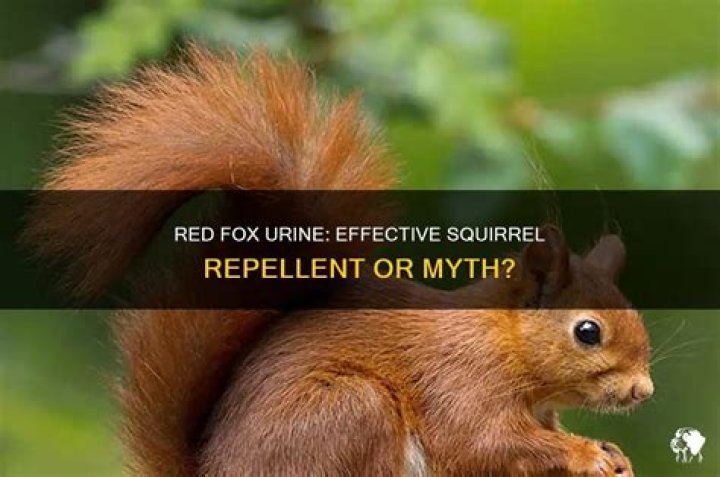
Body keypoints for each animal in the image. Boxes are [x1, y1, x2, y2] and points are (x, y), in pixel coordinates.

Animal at [28, 45, 653, 476]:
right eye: (588, 331)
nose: (643, 391)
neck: (502, 340)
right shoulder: (461, 382)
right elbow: (484, 442)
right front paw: (586, 453)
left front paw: (613, 454)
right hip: (353, 411)